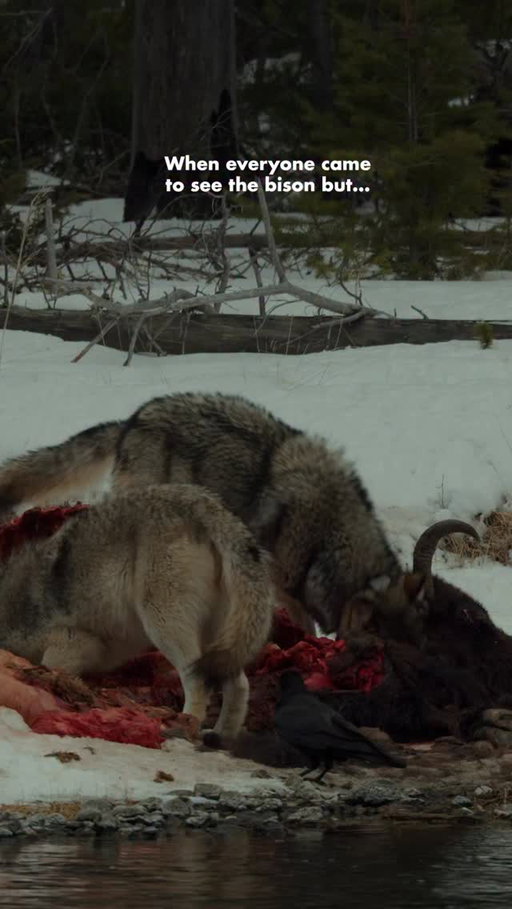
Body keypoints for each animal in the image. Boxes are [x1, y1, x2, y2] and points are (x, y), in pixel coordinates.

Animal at [0, 483, 276, 740]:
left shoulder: (73, 642)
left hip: (164, 625)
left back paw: (184, 726)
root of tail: (203, 503)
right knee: (239, 684)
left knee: (198, 681)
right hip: (218, 637)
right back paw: (219, 737)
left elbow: (51, 667)